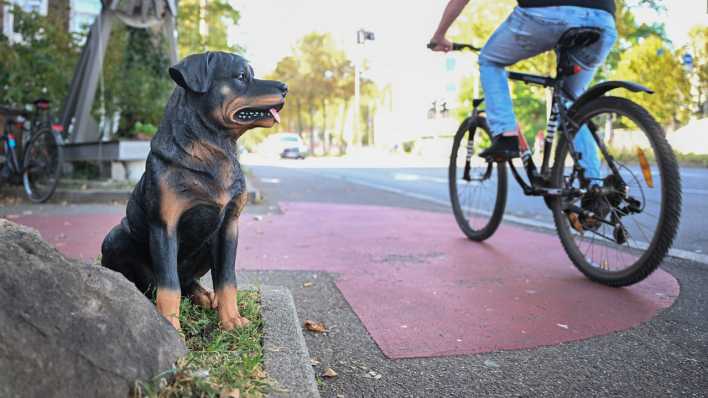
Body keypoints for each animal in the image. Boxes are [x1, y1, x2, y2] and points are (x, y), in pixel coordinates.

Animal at [100, 51, 288, 330]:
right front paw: (170, 326)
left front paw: (231, 320)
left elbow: (227, 279)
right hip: (115, 238)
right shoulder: (164, 226)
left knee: (189, 282)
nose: (285, 87)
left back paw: (203, 295)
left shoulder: (228, 227)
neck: (214, 149)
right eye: (241, 76)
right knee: (150, 282)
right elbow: (169, 285)